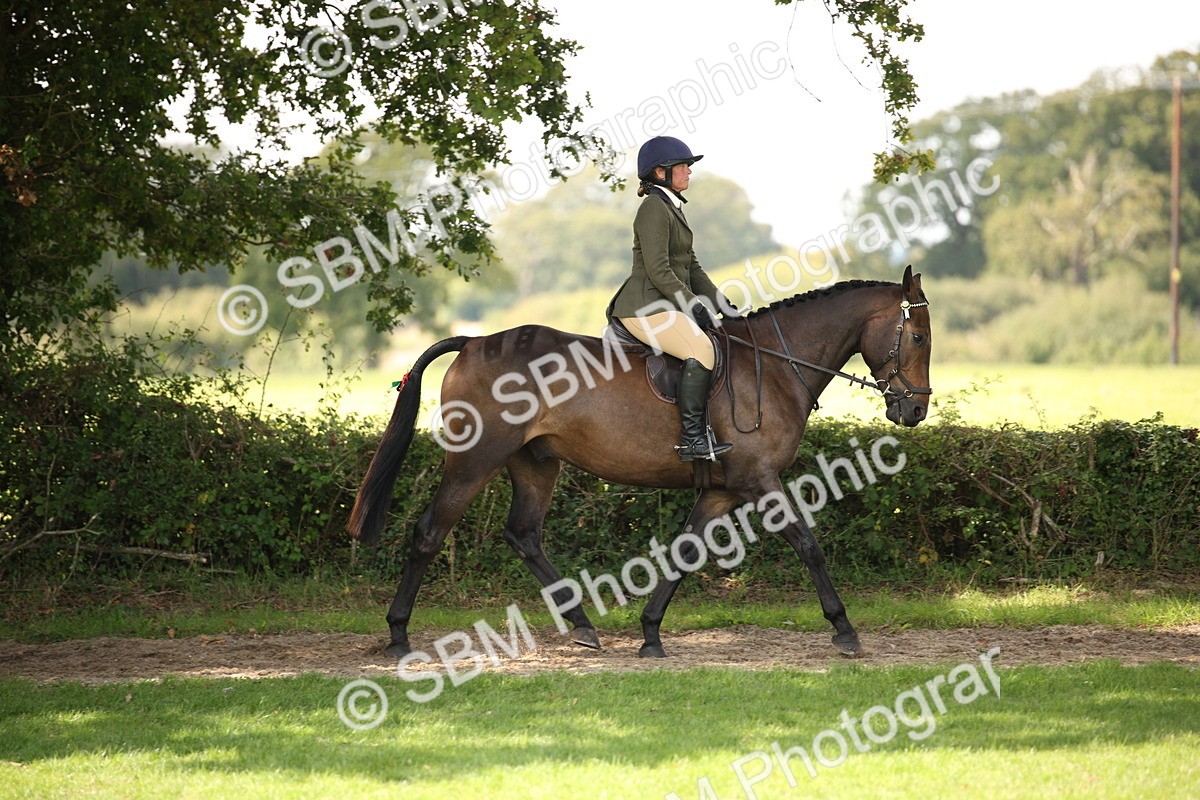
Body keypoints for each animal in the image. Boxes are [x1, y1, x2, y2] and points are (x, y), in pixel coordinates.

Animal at [348, 265, 931, 659]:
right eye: (920, 336)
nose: (916, 410)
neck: (775, 364)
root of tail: (474, 343)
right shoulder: (759, 480)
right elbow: (808, 544)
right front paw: (844, 630)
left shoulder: (722, 488)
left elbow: (684, 552)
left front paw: (650, 633)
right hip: (475, 461)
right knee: (430, 532)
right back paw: (398, 634)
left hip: (534, 462)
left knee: (524, 535)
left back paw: (584, 626)